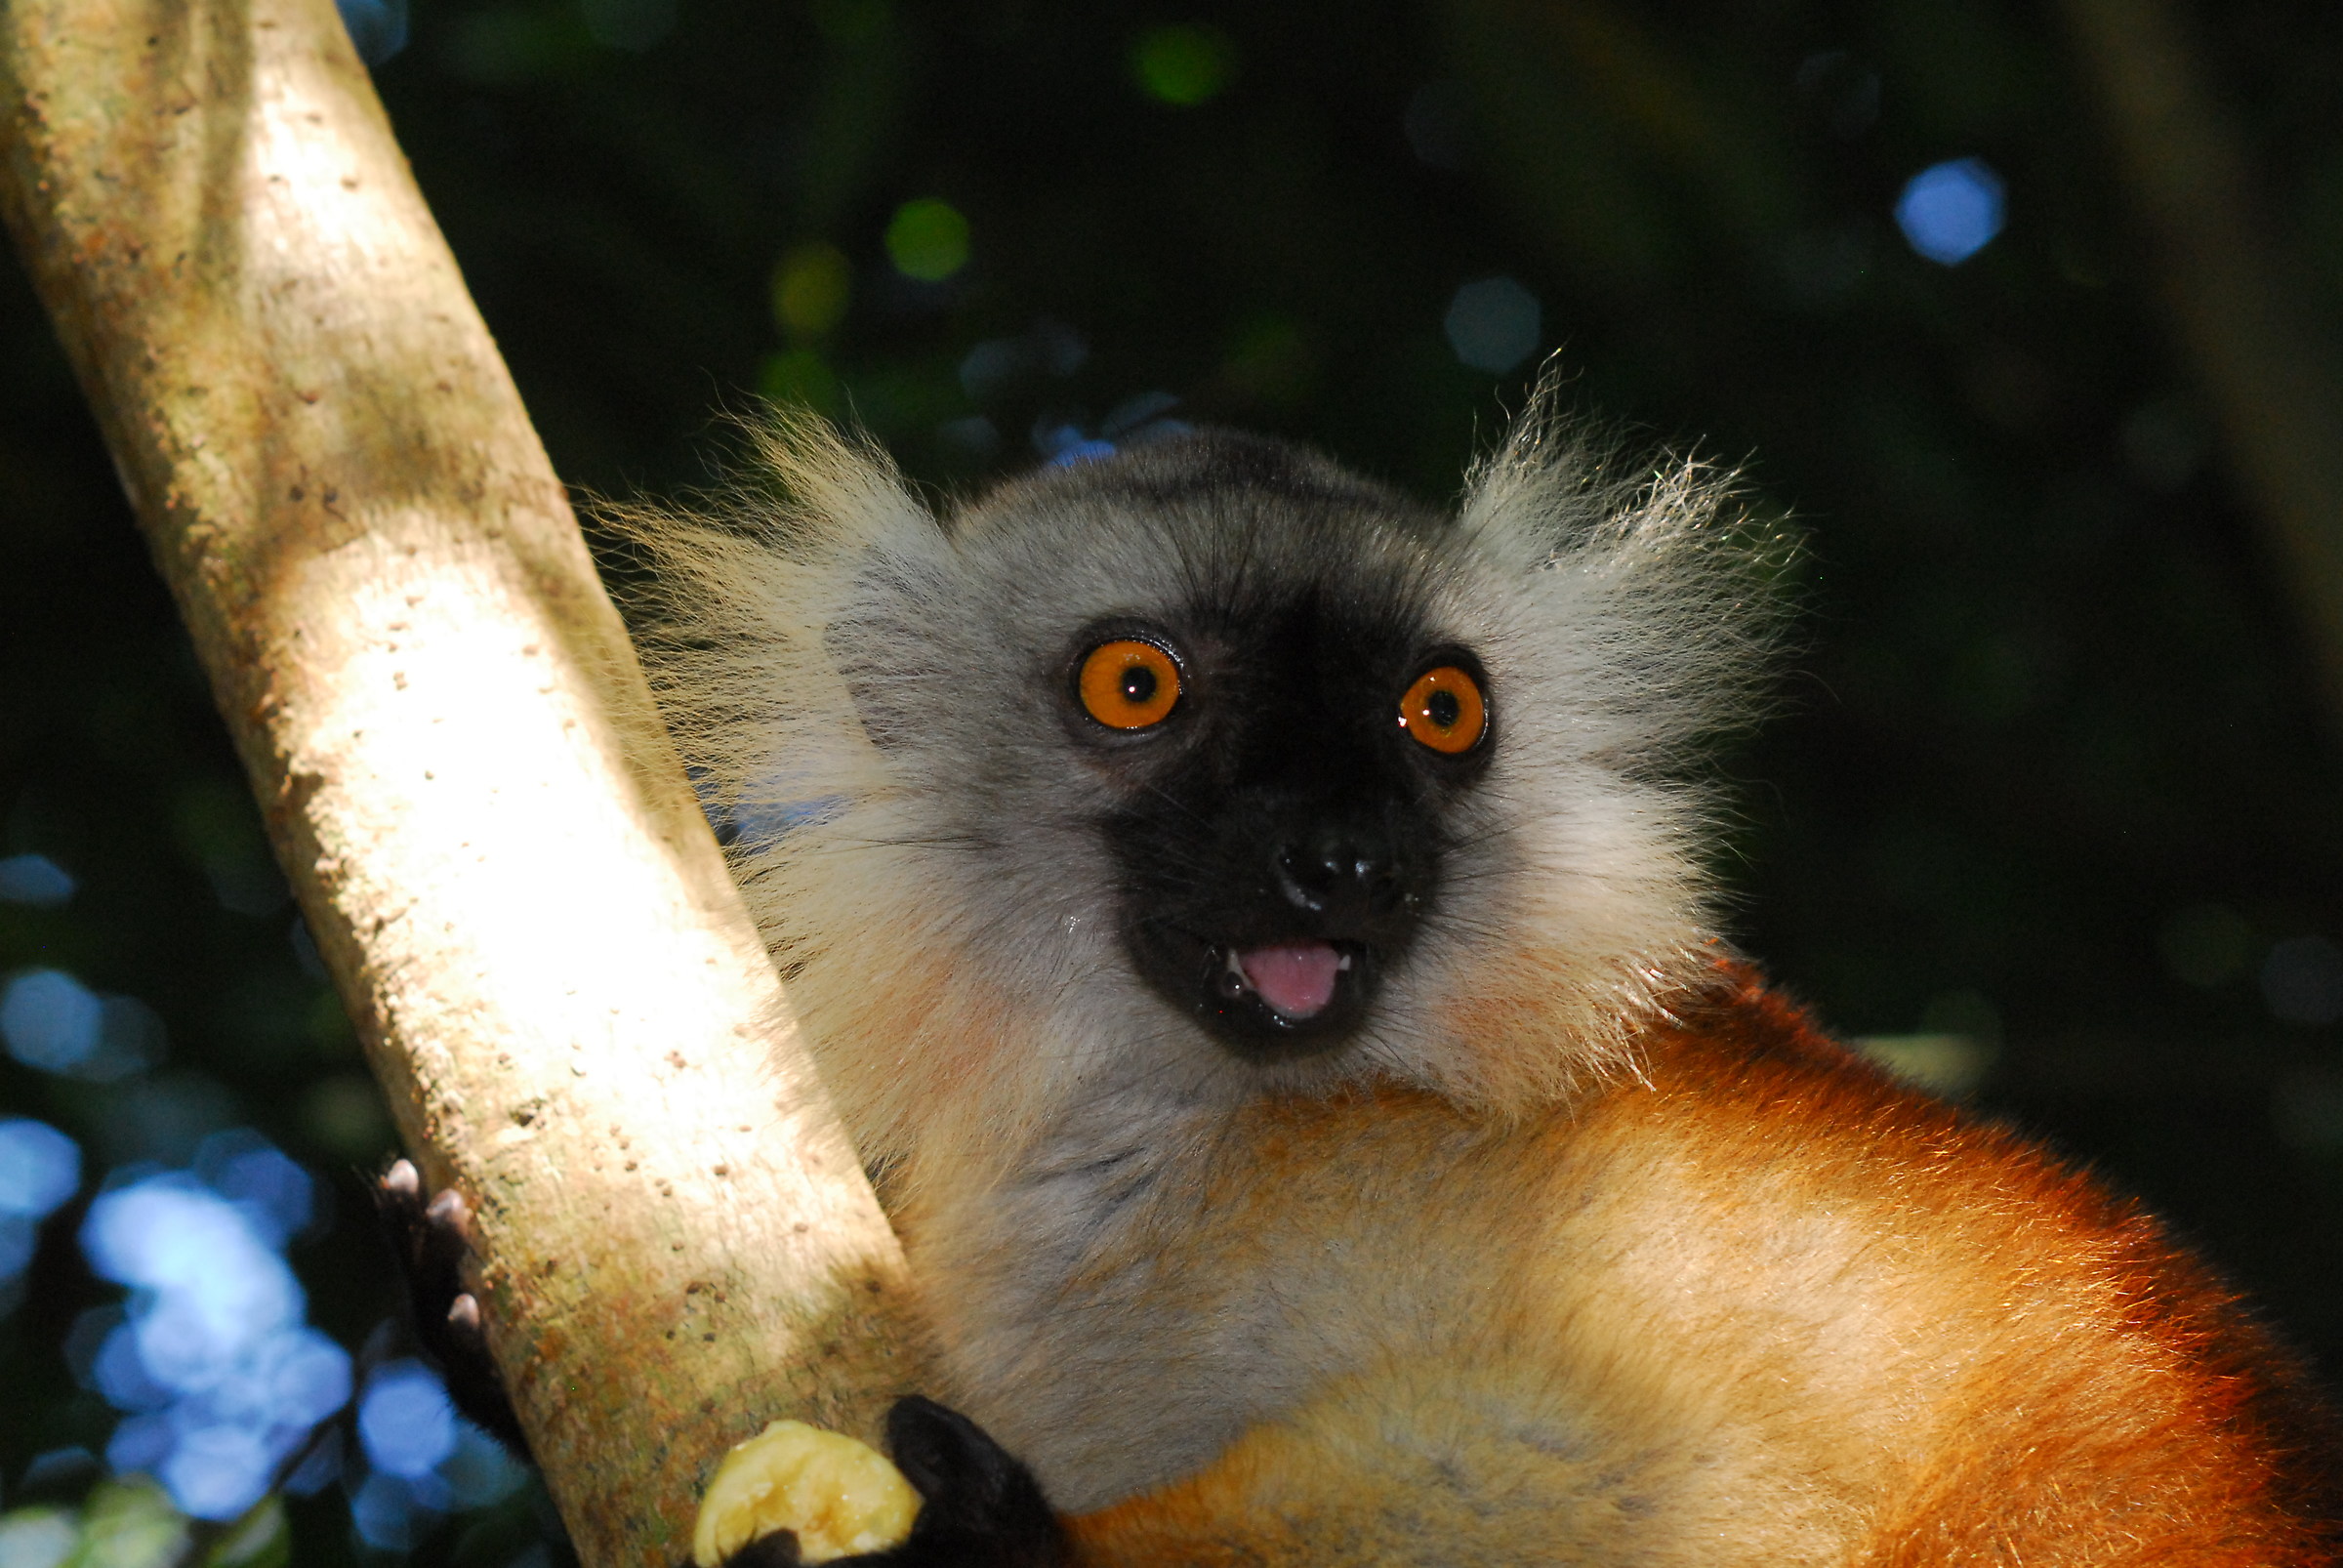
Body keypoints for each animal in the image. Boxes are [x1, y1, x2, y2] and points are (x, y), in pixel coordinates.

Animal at [396, 393, 2340, 1565]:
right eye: (1135, 686)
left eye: (1438, 711)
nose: (1346, 857)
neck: (1218, 1123)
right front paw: (471, 1321)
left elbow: (1624, 1467)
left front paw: (1008, 1546)